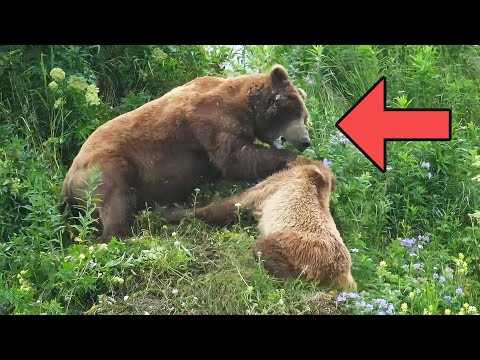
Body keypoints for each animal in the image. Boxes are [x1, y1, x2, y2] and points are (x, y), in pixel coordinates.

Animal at [62, 66, 312, 243]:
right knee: (116, 204)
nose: (305, 141)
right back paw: (122, 234)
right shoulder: (213, 119)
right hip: (107, 169)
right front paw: (291, 159)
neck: (247, 108)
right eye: (294, 112)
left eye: (304, 116)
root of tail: (68, 181)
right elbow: (235, 157)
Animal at [165, 158, 356, 292]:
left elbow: (234, 202)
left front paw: (173, 212)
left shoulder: (274, 185)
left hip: (300, 248)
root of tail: (336, 273)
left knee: (265, 250)